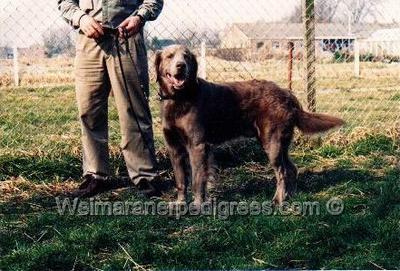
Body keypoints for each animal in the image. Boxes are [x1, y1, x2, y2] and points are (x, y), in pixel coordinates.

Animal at [155, 45, 344, 206]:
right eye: (170, 56)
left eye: (186, 56)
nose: (181, 66)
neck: (179, 99)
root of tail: (287, 93)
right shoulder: (174, 148)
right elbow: (180, 180)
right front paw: (180, 204)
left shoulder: (198, 146)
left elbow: (197, 180)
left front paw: (198, 205)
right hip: (279, 143)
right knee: (292, 169)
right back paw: (290, 196)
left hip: (272, 142)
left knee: (282, 172)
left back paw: (278, 200)